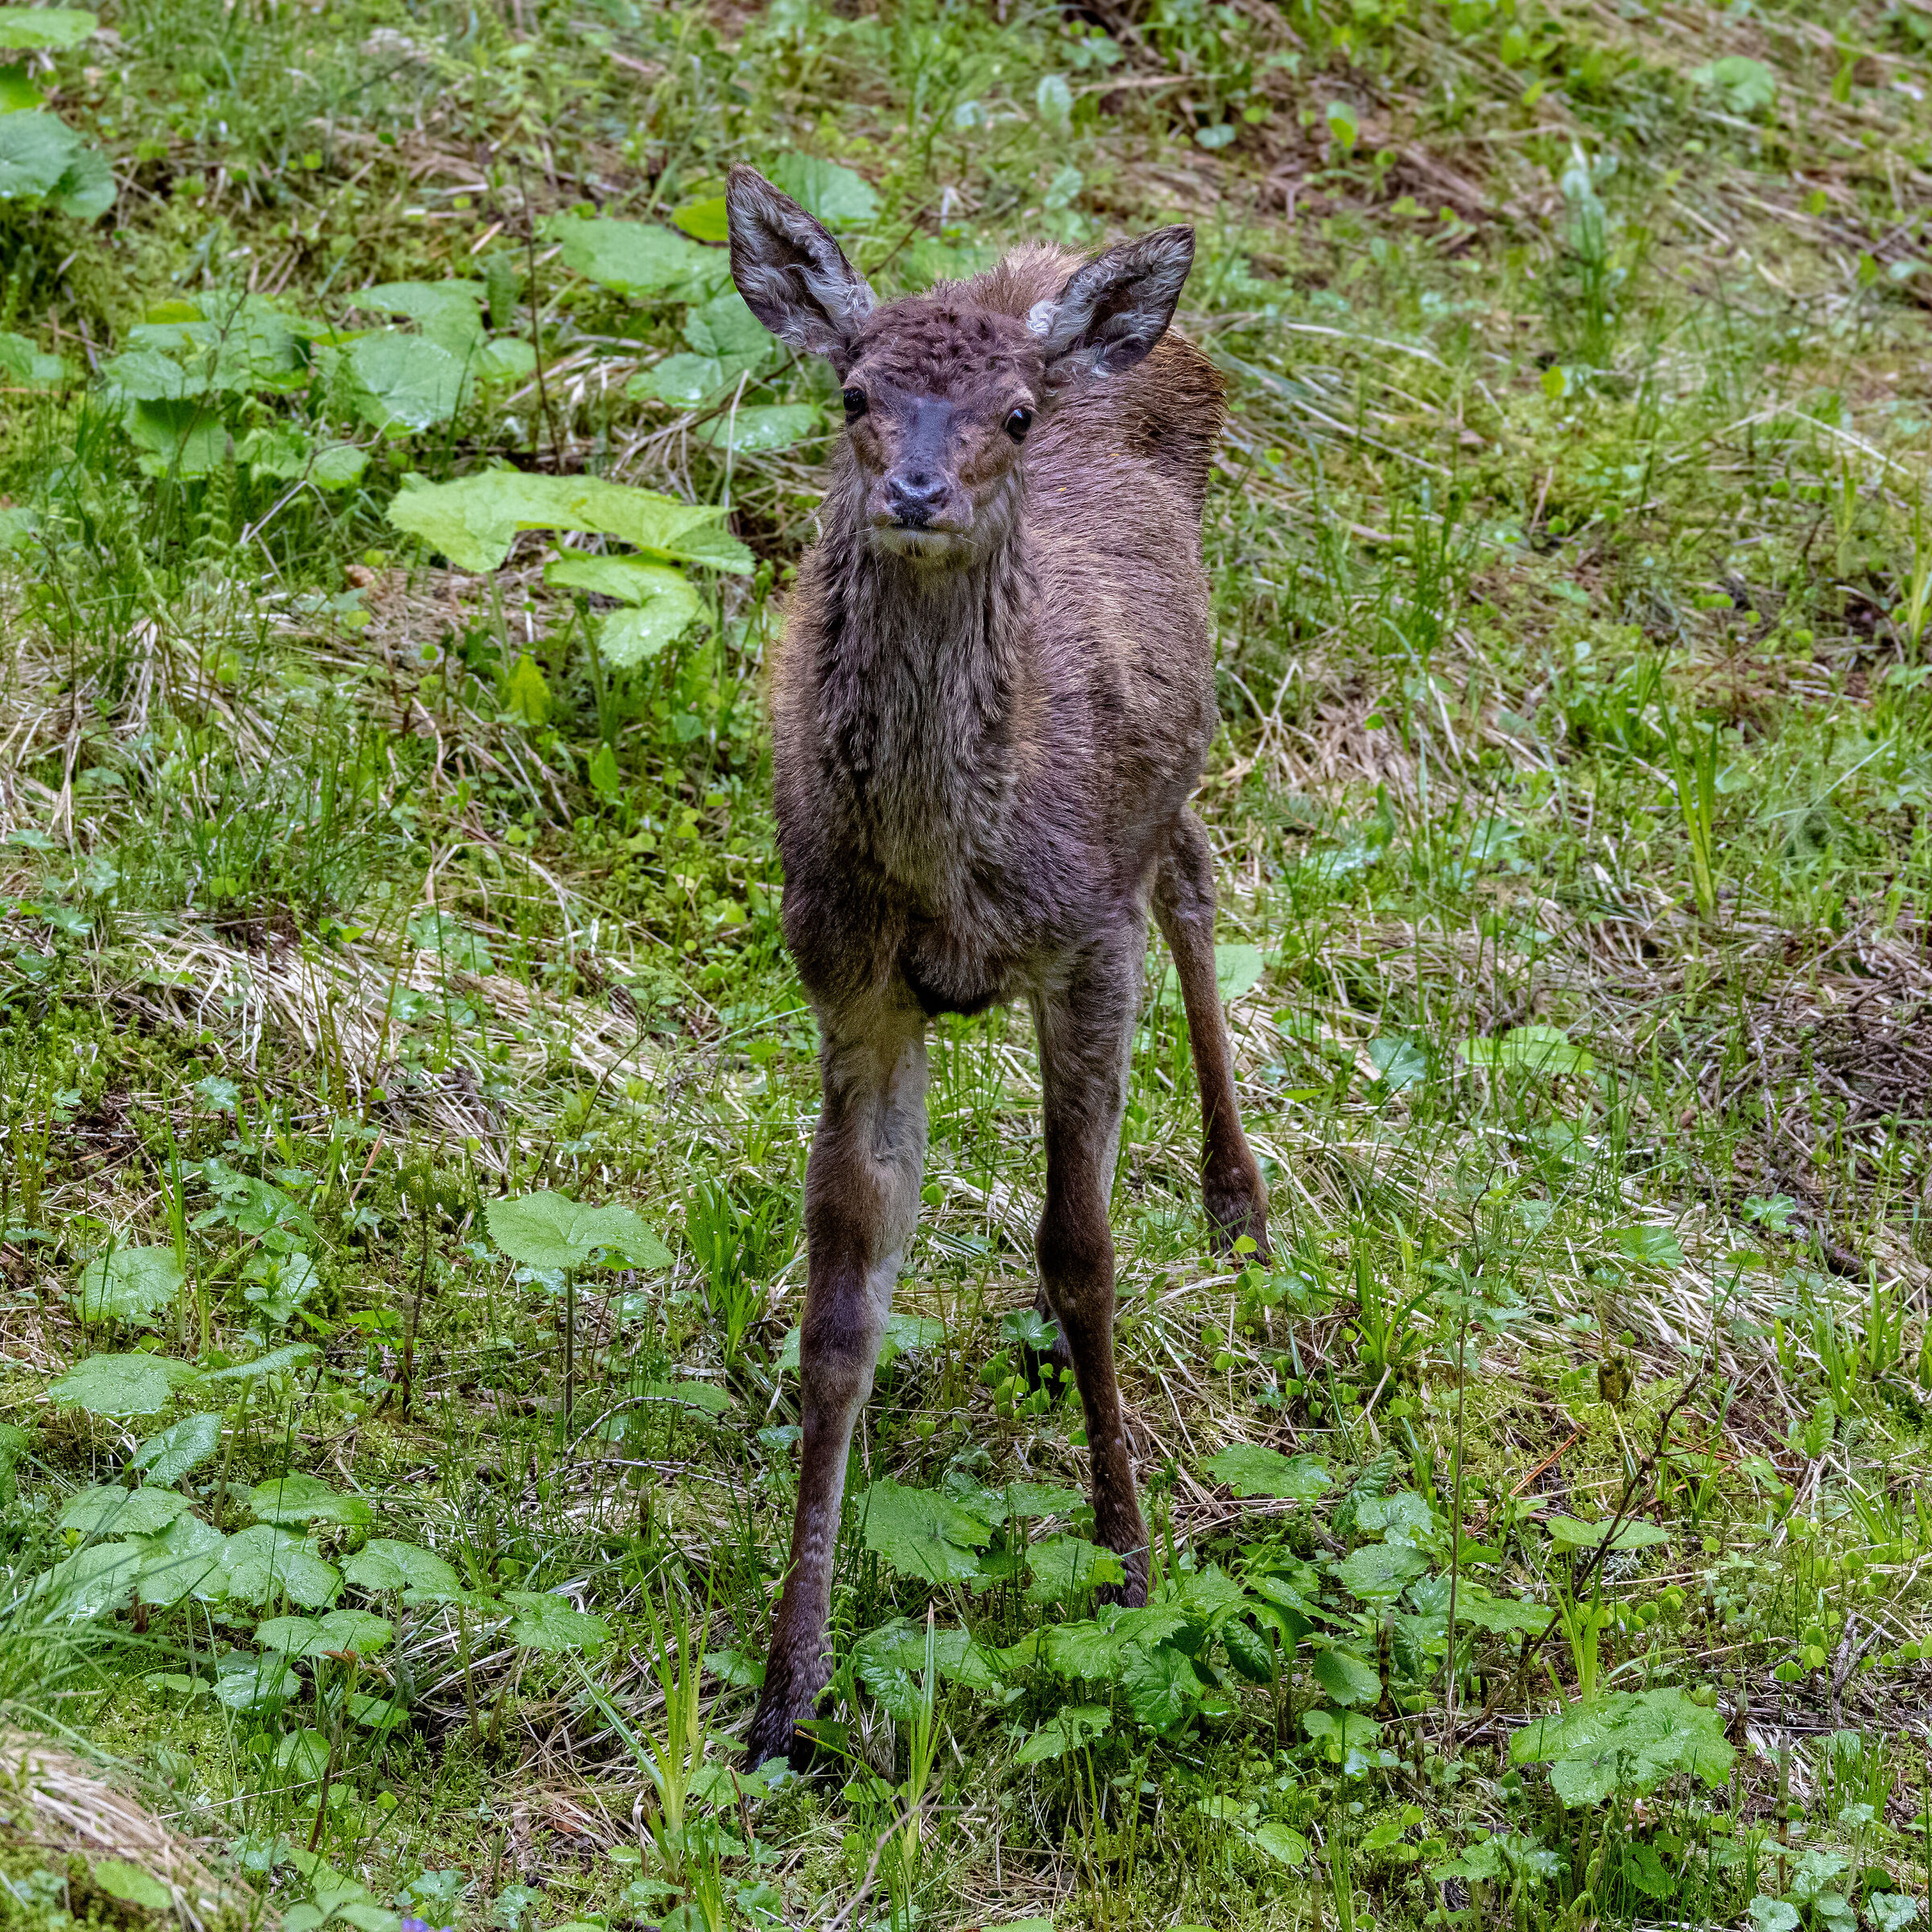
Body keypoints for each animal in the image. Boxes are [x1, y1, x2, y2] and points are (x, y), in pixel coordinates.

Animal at [723, 165, 1270, 1769]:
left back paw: (1238, 1203)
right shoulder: (846, 982)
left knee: (1195, 878)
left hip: (1163, 780)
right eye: (852, 392)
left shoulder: (1085, 939)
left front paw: (1130, 1560)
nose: (919, 492)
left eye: (1016, 416)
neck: (950, 875)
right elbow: (842, 1307)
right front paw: (786, 1696)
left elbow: (1085, 1251)